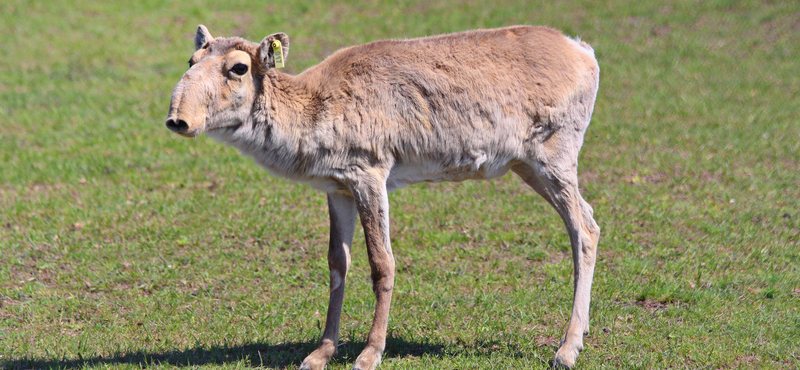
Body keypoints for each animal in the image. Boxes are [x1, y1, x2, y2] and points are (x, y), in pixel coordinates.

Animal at [167, 24, 600, 368]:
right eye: (191, 58)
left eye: (238, 68)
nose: (178, 119)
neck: (312, 106)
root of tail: (585, 52)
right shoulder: (337, 188)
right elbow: (337, 263)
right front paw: (319, 353)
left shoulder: (370, 174)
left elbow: (382, 263)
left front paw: (369, 353)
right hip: (526, 165)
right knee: (589, 221)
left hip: (554, 158)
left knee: (583, 229)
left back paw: (567, 349)